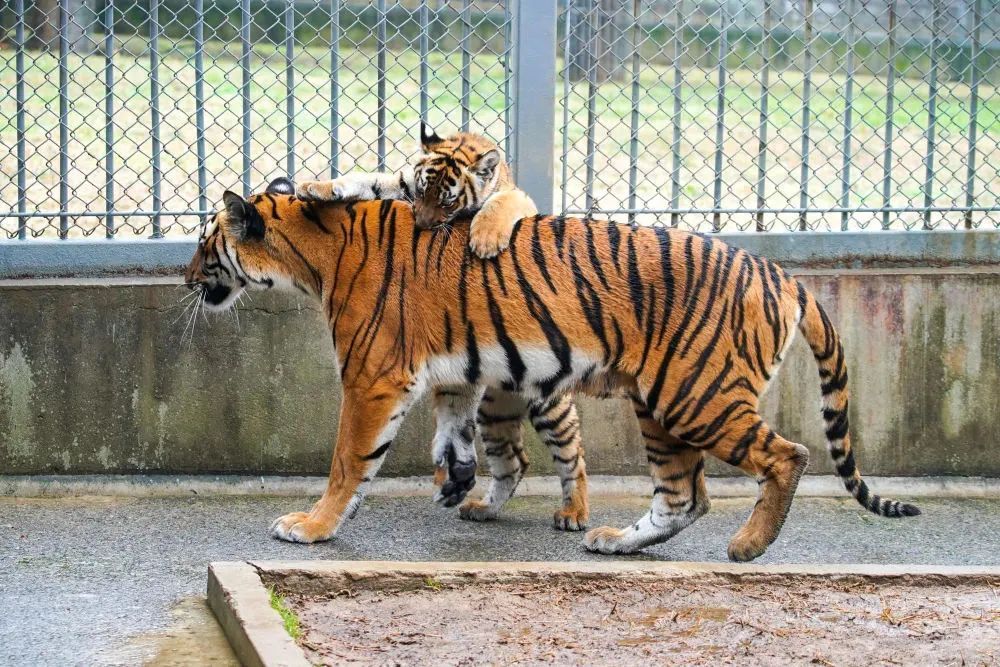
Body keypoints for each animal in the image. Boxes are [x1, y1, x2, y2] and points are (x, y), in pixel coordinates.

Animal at [184, 179, 916, 564]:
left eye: (202, 244)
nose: (187, 279)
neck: (314, 253)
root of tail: (780, 273)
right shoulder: (456, 376)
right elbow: (458, 436)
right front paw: (459, 481)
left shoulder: (372, 380)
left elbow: (347, 463)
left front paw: (312, 526)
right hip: (660, 405)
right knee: (684, 495)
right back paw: (615, 540)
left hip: (694, 394)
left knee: (786, 454)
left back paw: (748, 544)